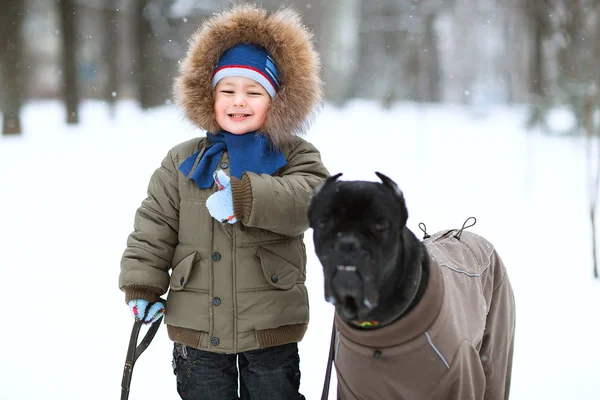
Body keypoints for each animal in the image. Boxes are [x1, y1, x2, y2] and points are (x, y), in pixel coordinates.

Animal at [310, 173, 516, 400]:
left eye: (380, 225)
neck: (381, 335)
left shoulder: (459, 383)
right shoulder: (354, 390)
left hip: (497, 342)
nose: (347, 244)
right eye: (324, 222)